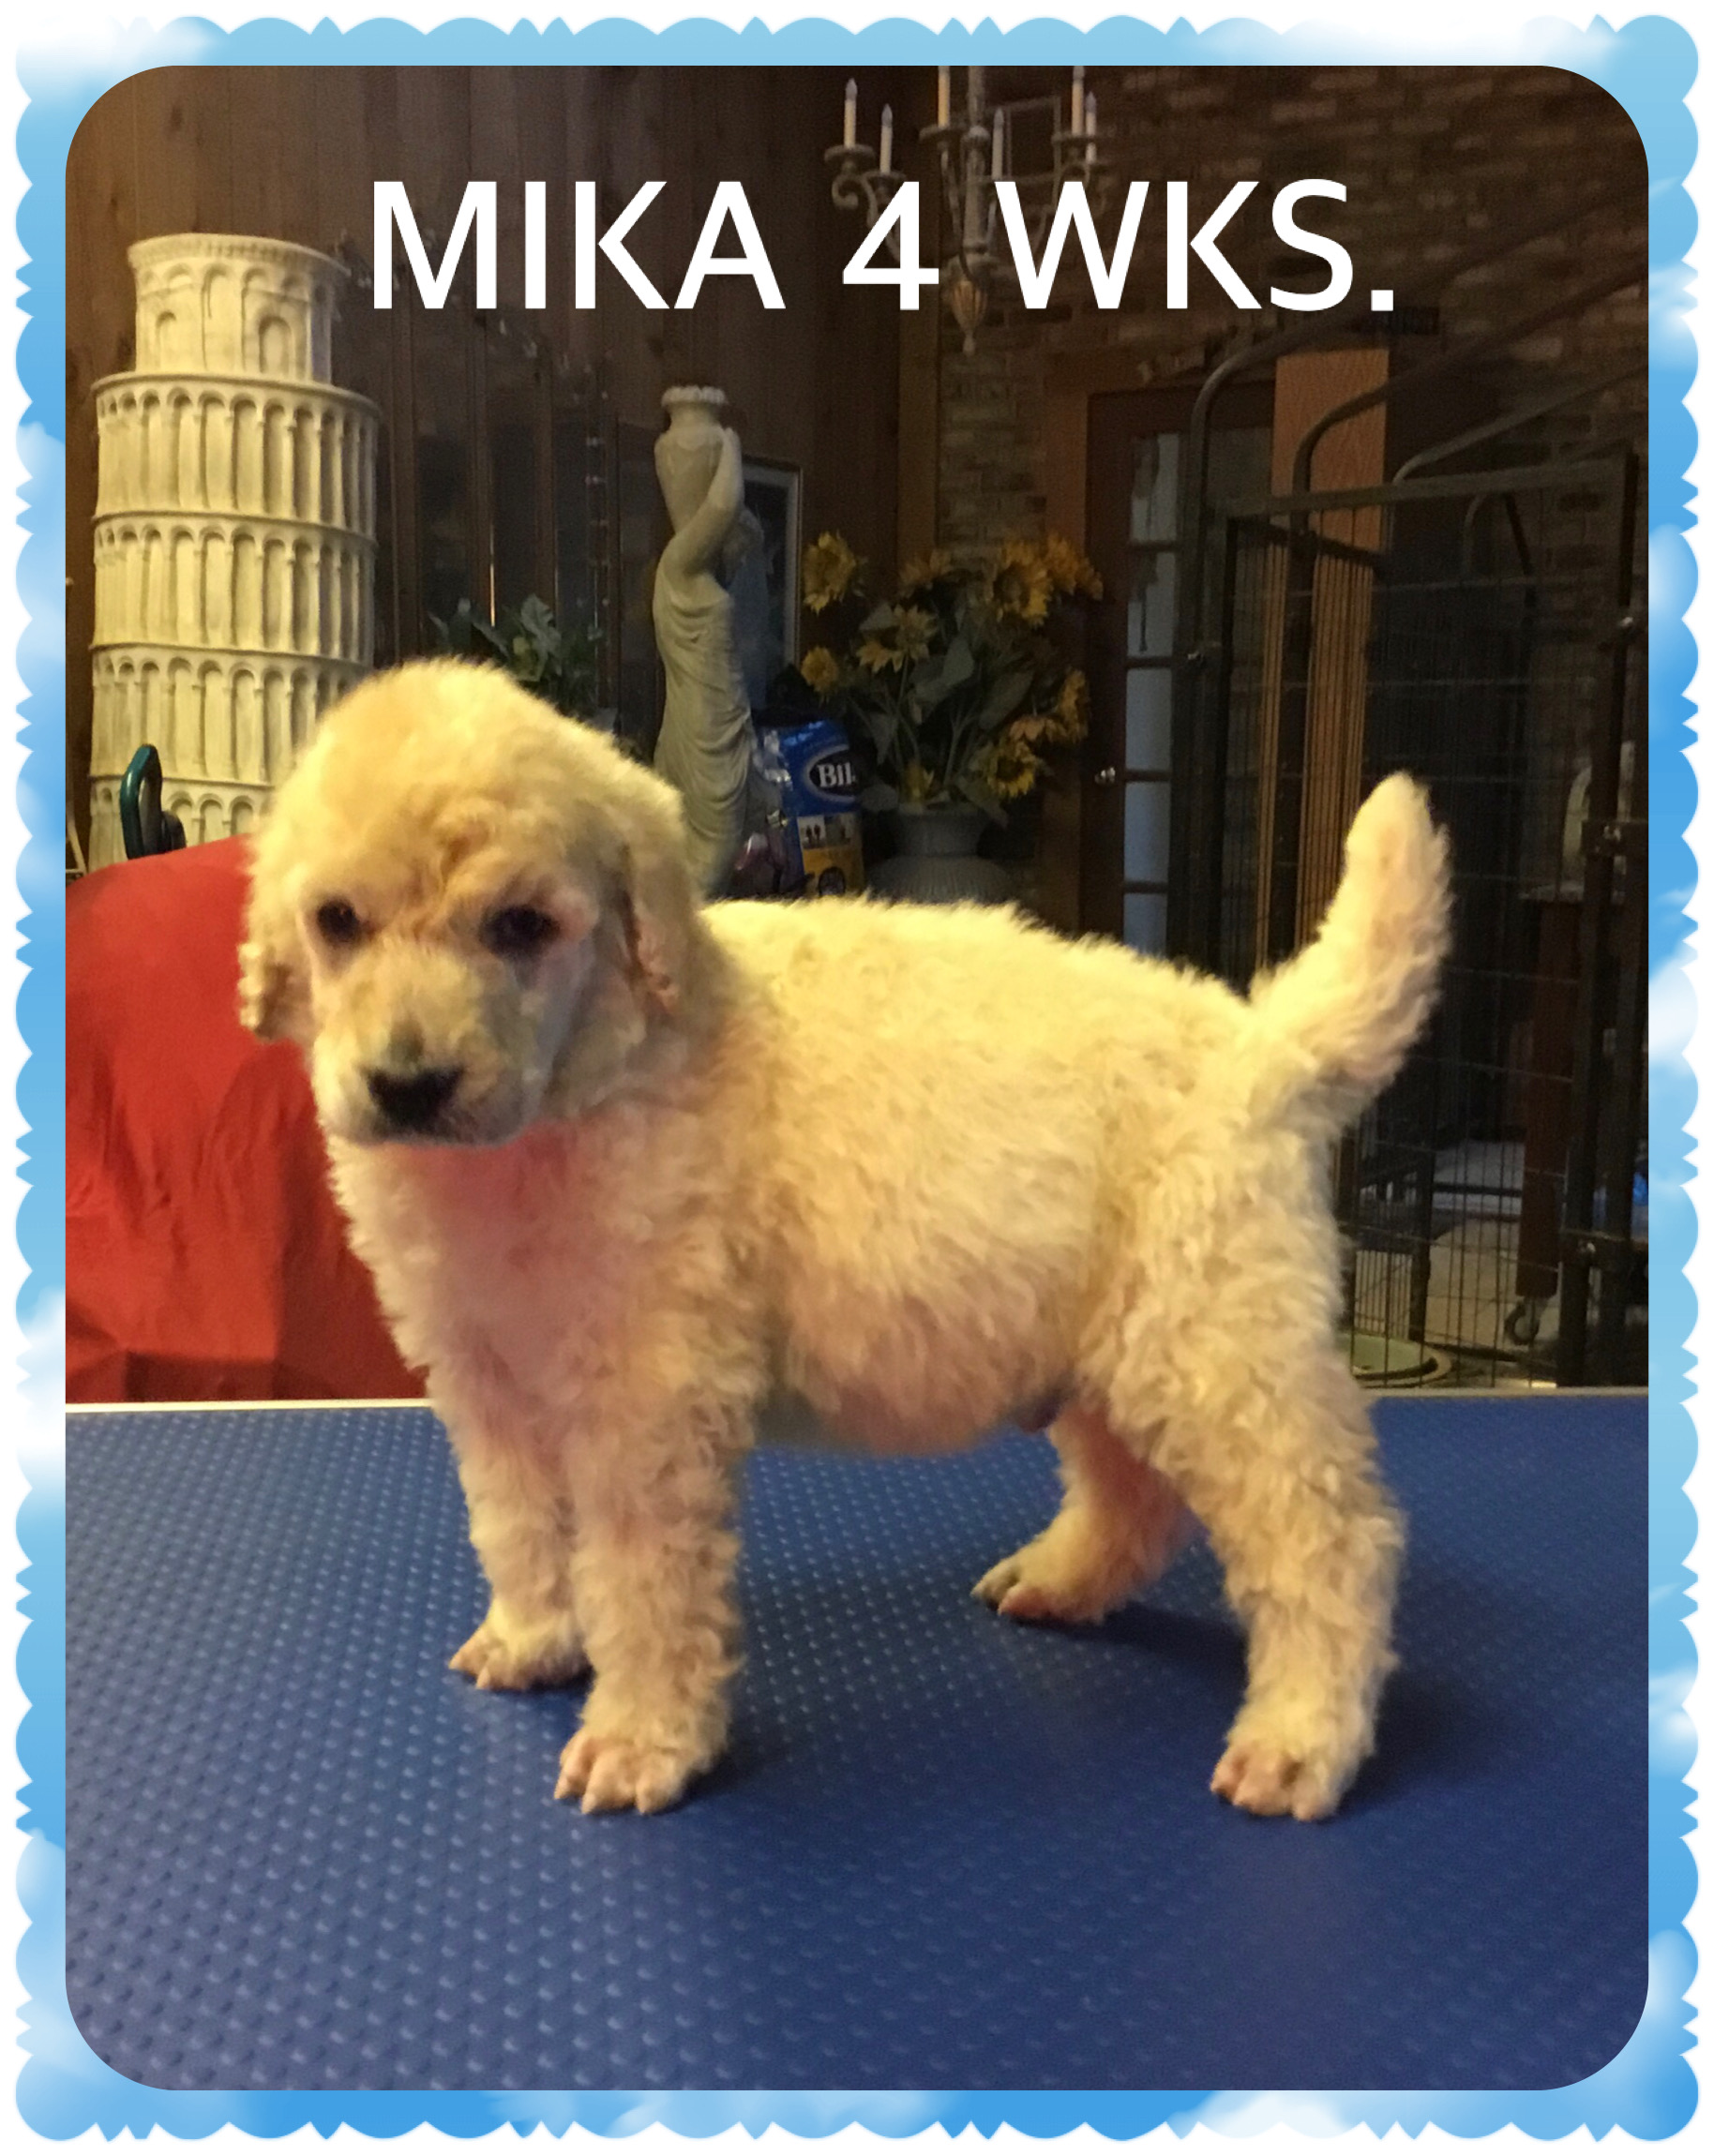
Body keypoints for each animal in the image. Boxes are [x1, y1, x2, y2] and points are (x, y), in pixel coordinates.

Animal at [240, 658, 1449, 1822]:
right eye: (337, 919)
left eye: (521, 927)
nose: (406, 1083)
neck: (578, 1091)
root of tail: (1268, 1045)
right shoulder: (486, 1374)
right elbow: (518, 1522)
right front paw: (533, 1636)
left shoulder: (650, 1398)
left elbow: (642, 1580)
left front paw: (641, 1738)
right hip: (1109, 1341)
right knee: (1133, 1493)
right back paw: (1058, 1579)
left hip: (1218, 1342)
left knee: (1331, 1540)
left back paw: (1299, 1740)